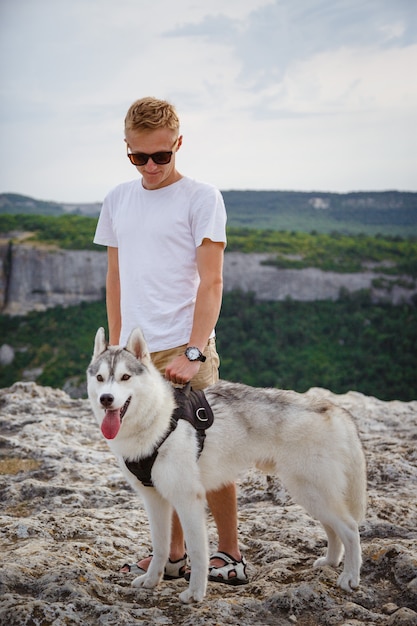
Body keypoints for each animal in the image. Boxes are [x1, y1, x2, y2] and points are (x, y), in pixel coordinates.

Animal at [87, 324, 364, 604]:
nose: (106, 399)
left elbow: (197, 552)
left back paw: (350, 577)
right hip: (311, 495)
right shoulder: (155, 500)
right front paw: (152, 580)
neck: (159, 420)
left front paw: (195, 592)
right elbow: (161, 546)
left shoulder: (188, 500)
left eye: (125, 377)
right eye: (100, 378)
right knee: (333, 529)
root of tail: (332, 408)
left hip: (311, 491)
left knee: (350, 529)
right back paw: (330, 562)